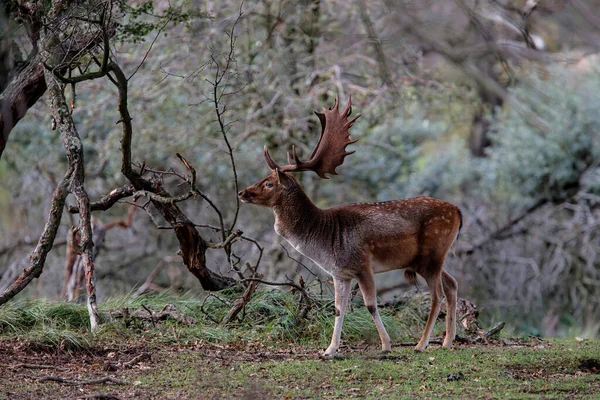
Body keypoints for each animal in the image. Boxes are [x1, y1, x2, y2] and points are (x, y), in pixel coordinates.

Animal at [237, 95, 462, 358]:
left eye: (269, 183)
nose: (242, 192)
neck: (325, 239)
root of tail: (458, 212)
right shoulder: (340, 273)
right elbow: (338, 309)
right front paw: (329, 349)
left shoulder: (363, 264)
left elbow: (370, 305)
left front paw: (386, 345)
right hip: (430, 258)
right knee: (452, 284)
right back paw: (447, 341)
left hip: (432, 255)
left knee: (437, 295)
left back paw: (422, 344)